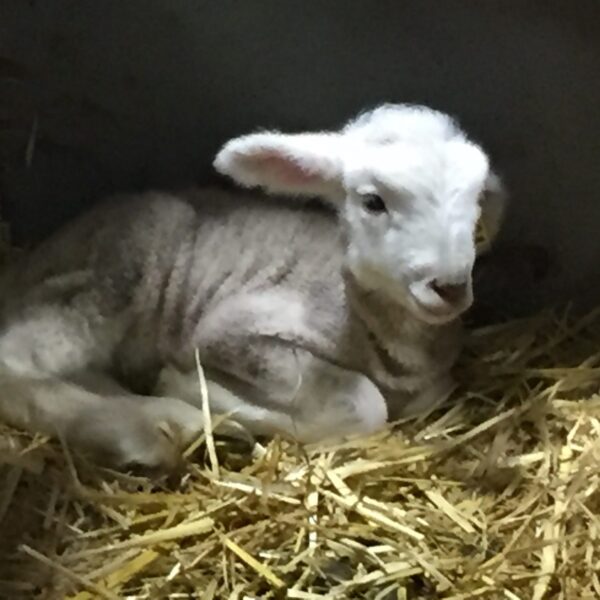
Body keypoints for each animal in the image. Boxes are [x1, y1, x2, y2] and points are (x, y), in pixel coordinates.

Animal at [0, 103, 506, 472]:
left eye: (476, 202)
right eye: (372, 201)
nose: (449, 286)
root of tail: (25, 266)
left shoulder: (431, 383)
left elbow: (422, 394)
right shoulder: (233, 329)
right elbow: (365, 404)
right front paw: (195, 389)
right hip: (113, 275)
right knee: (18, 360)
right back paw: (141, 429)